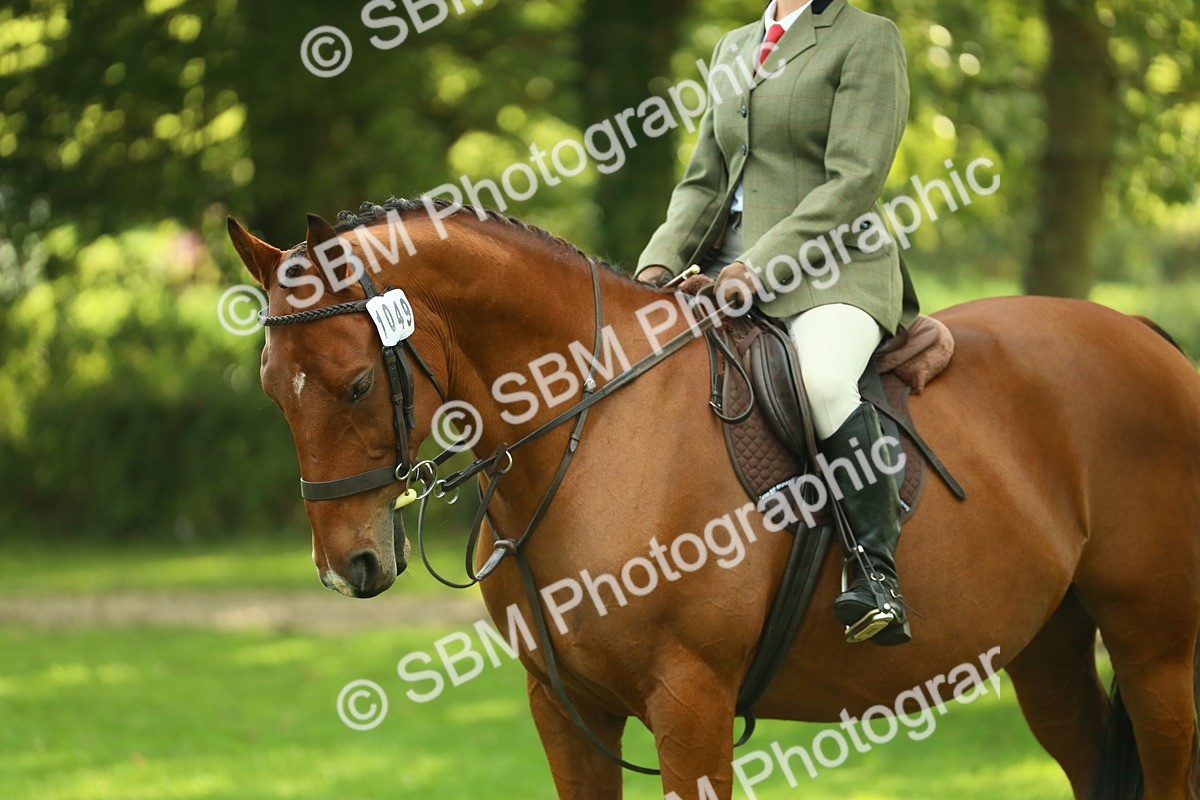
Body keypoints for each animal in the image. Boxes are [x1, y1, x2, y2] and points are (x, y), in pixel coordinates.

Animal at [227, 198, 1200, 800]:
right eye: (273, 389)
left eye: (357, 385)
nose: (349, 565)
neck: (592, 429)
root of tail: (1145, 335)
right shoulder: (565, 710)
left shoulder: (688, 701)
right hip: (1050, 649)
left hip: (1153, 649)